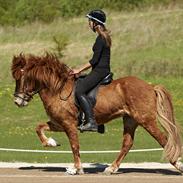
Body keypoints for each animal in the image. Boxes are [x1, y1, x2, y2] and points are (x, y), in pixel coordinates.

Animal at [11, 52, 183, 174]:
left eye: (21, 77)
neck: (58, 89)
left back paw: (178, 165)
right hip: (130, 120)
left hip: (146, 120)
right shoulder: (60, 123)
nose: (18, 101)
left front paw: (76, 169)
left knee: (163, 139)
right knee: (127, 143)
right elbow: (39, 127)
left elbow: (74, 145)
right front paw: (51, 143)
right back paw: (111, 168)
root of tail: (150, 86)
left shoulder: (68, 124)